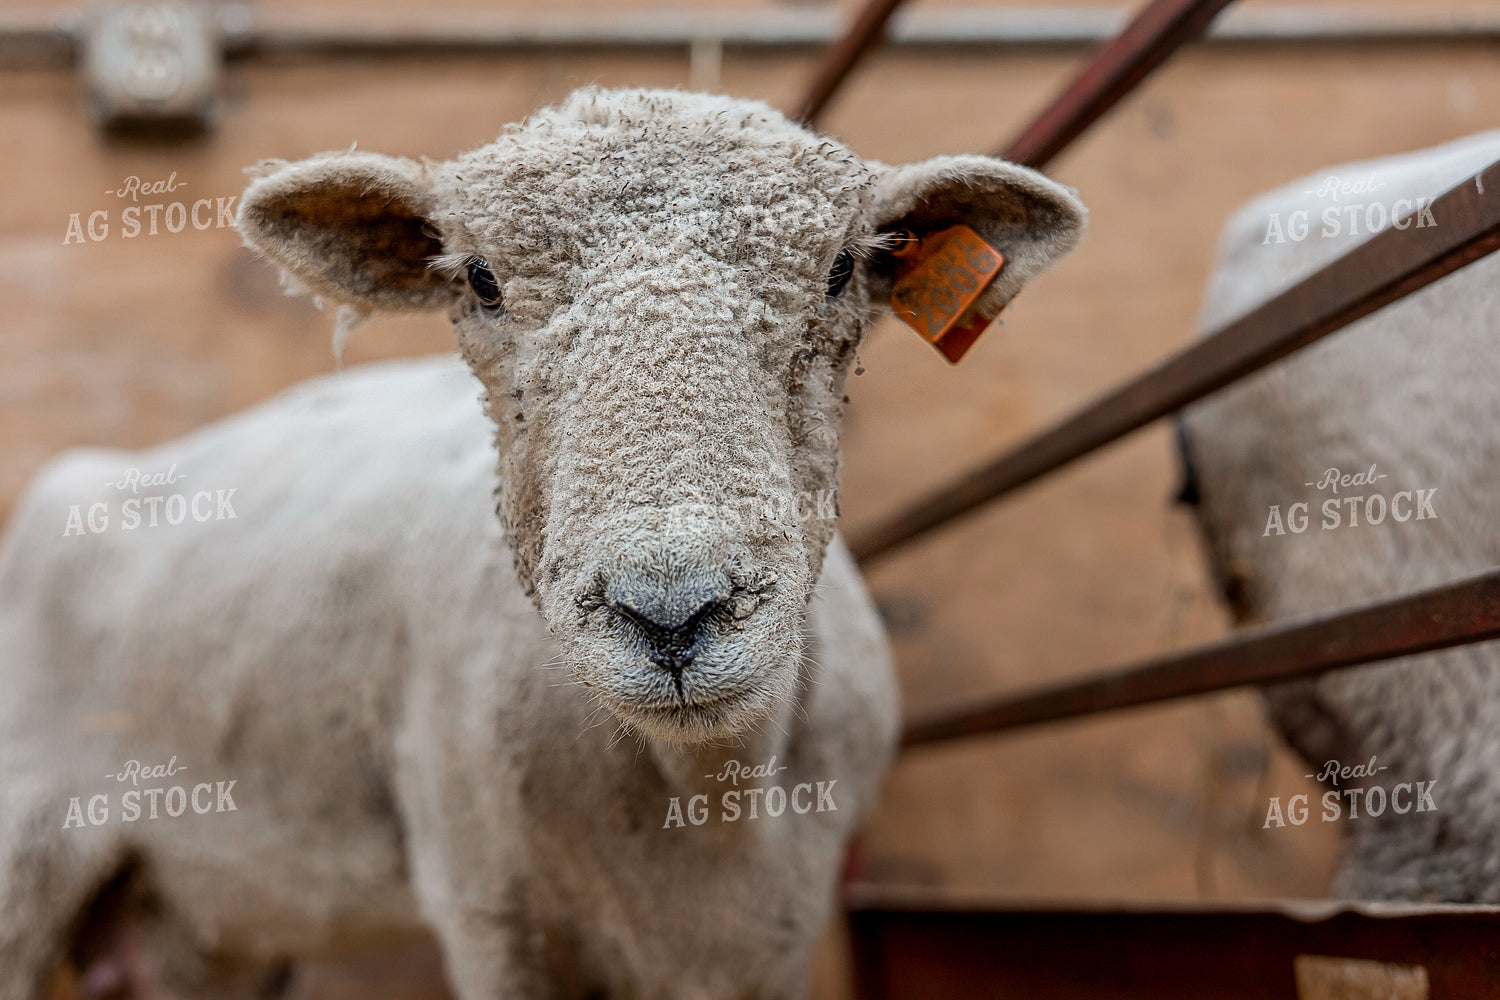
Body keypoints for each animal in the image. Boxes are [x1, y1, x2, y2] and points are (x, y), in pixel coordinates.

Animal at [0, 86, 1086, 999]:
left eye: (843, 268)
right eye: (479, 280)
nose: (673, 614)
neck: (704, 794)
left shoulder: (777, 931)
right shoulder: (491, 909)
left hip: (206, 912)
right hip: (26, 854)